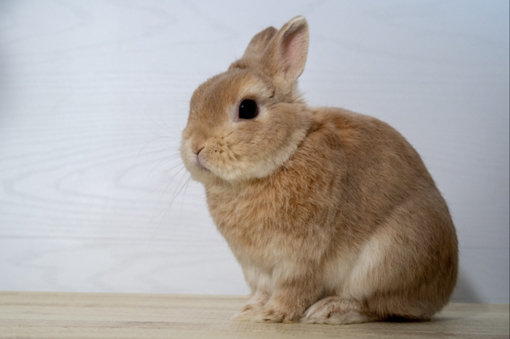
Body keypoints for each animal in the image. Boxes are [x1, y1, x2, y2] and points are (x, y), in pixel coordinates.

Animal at [180, 16, 458, 326]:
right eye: (194, 101)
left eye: (248, 108)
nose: (195, 147)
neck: (288, 153)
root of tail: (441, 292)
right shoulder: (256, 267)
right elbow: (263, 290)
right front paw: (250, 311)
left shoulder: (302, 258)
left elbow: (293, 289)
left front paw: (273, 314)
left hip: (387, 260)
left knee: (377, 306)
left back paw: (331, 310)